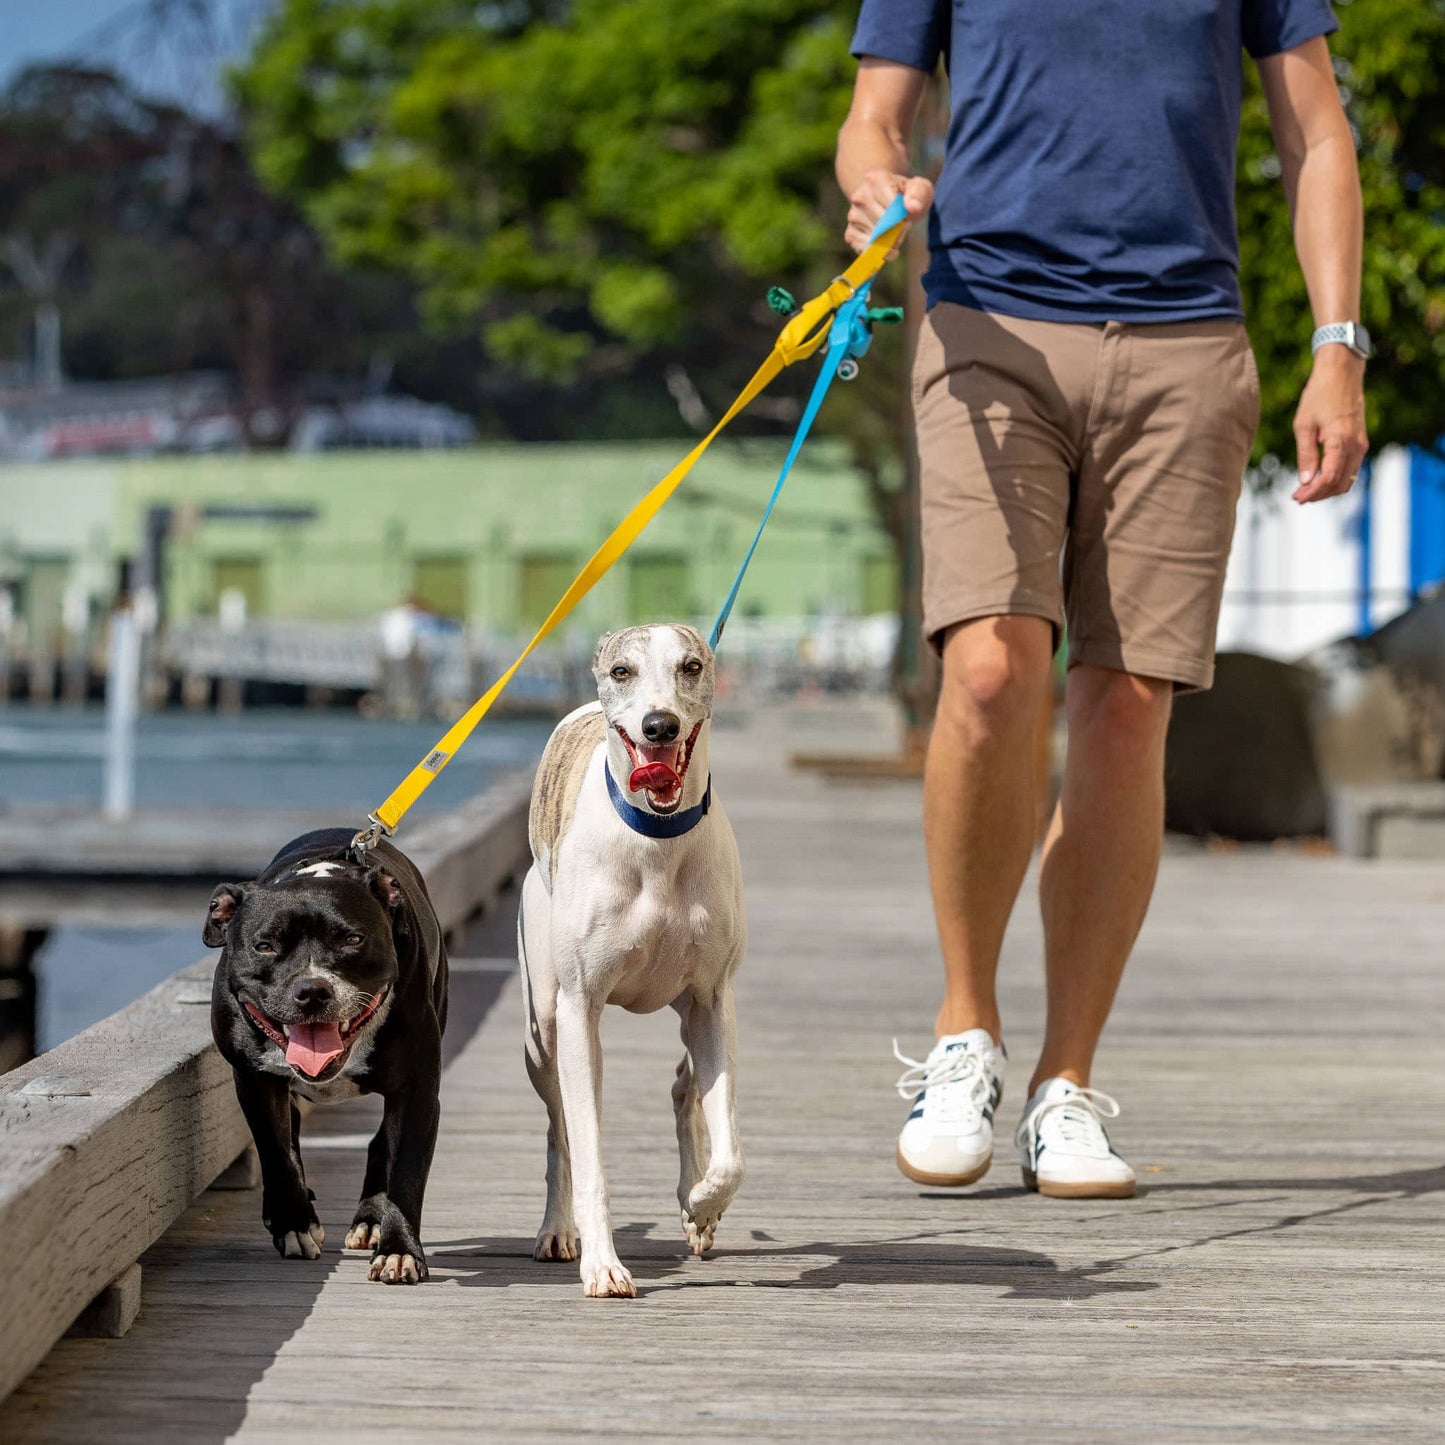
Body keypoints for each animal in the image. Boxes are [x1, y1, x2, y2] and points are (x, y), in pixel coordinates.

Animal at [205, 832, 445, 1283]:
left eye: (353, 940)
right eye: (264, 946)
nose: (312, 990)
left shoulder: (417, 1091)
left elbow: (406, 1170)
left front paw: (398, 1249)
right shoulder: (254, 1080)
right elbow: (276, 1152)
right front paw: (294, 1224)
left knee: (381, 1141)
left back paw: (370, 1218)